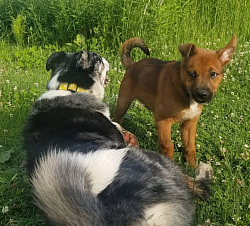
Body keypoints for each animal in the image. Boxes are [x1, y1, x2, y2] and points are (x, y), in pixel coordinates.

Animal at [113, 34, 236, 167]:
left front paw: (192, 167)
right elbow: (168, 145)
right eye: (192, 74)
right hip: (123, 103)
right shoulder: (163, 120)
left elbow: (190, 147)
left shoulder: (189, 123)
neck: (184, 92)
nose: (202, 95)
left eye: (213, 74)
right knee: (116, 119)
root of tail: (132, 65)